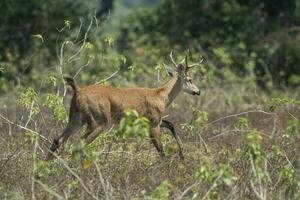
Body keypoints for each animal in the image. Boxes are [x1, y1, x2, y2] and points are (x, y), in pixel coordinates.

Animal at [48, 51, 204, 159]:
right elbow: (160, 150)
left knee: (58, 140)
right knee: (77, 144)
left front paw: (182, 154)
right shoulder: (153, 122)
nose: (198, 91)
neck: (161, 97)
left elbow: (171, 124)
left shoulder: (153, 120)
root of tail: (78, 90)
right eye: (190, 79)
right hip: (99, 120)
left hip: (76, 117)